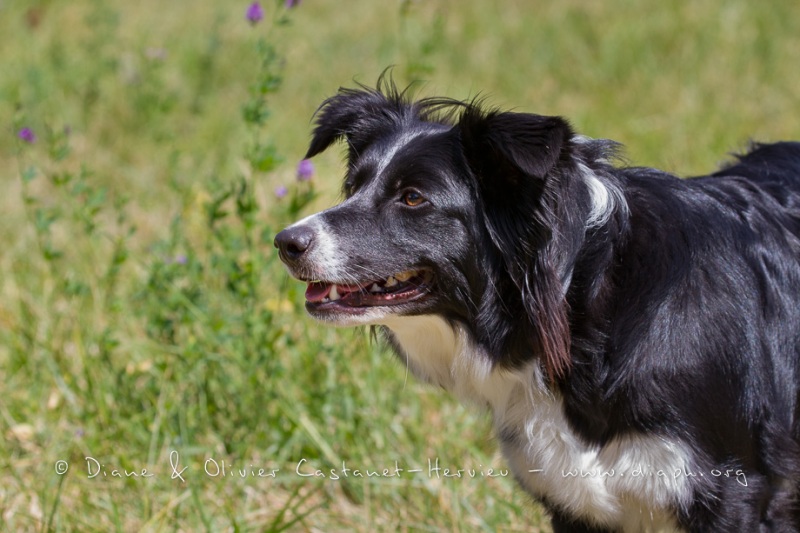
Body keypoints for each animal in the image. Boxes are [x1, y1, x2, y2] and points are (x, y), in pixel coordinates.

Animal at [276, 80, 800, 532]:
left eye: (412, 197)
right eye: (354, 186)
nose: (285, 242)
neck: (581, 303)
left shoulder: (735, 490)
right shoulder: (575, 499)